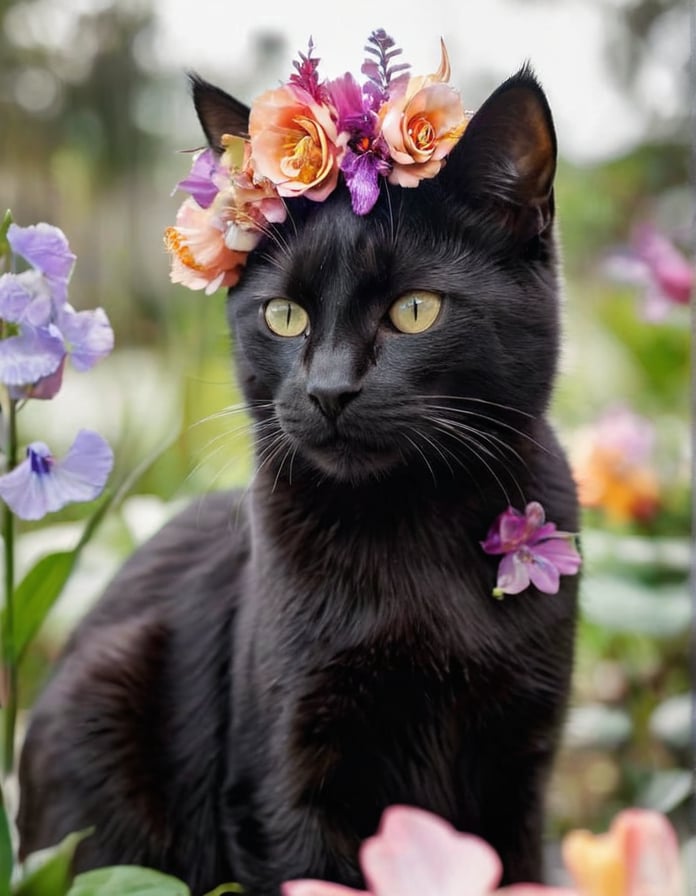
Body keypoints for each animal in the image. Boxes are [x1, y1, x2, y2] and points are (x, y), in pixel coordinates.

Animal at [19, 63, 580, 896]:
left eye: (415, 310)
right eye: (284, 315)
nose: (329, 389)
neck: (408, 528)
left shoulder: (521, 765)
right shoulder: (283, 779)